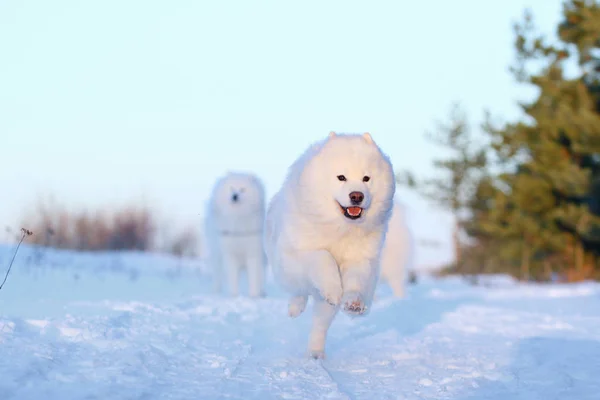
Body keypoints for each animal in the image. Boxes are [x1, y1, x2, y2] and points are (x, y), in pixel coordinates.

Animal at [205, 170, 266, 298]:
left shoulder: (253, 252)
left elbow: (254, 277)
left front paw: (253, 296)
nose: (235, 196)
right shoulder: (230, 254)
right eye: (231, 188)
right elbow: (232, 278)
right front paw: (233, 296)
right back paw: (215, 291)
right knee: (217, 275)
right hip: (216, 254)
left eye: (243, 189)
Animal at [264, 132, 396, 360]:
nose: (357, 195)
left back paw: (315, 353)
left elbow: (355, 281)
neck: (340, 229)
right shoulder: (300, 252)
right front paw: (333, 290)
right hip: (285, 270)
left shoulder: (359, 257)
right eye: (341, 177)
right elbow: (323, 258)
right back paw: (296, 308)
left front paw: (353, 303)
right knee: (298, 290)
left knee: (319, 325)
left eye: (366, 178)